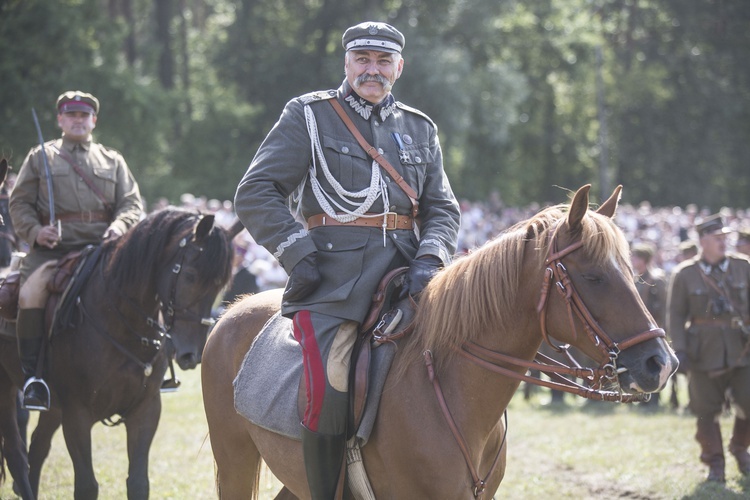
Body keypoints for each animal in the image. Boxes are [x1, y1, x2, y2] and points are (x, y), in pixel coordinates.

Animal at [0, 208, 236, 500]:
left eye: (219, 286)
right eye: (190, 274)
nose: (191, 354)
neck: (120, 322)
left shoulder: (145, 411)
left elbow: (138, 483)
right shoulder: (77, 415)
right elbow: (86, 486)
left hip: (53, 406)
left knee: (37, 447)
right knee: (16, 453)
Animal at [201, 186, 680, 498]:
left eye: (632, 272)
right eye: (594, 277)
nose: (660, 363)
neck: (453, 389)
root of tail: (232, 311)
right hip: (234, 461)